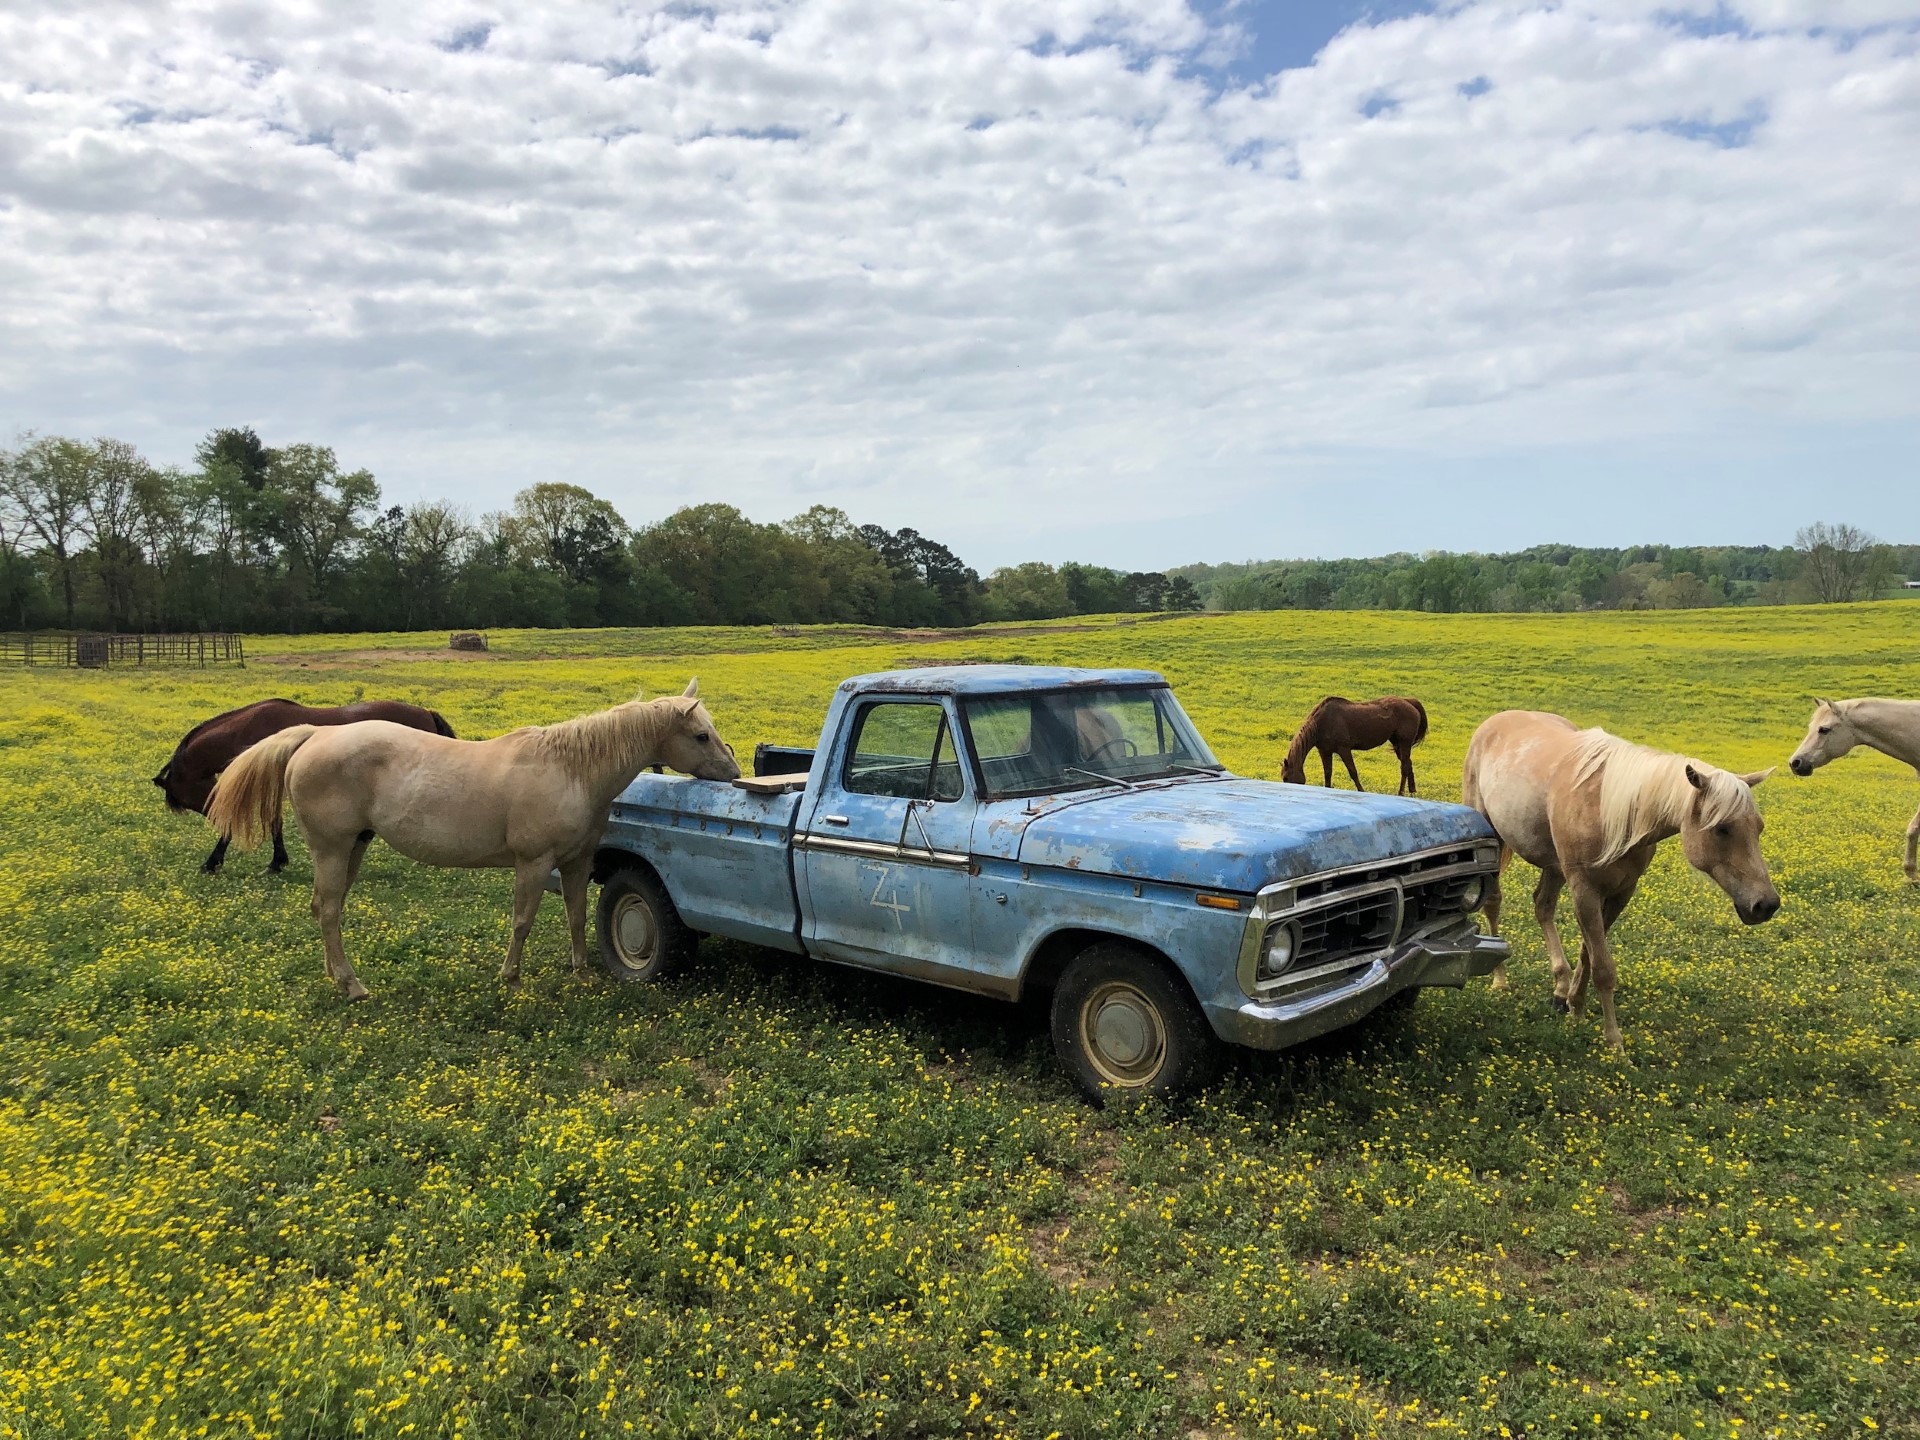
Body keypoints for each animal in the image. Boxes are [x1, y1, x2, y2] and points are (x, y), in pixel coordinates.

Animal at [153, 695, 453, 875]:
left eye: (185, 797)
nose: (215, 815)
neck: (246, 732)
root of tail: (427, 713)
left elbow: (271, 822)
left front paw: (218, 861)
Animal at [208, 683, 733, 1006]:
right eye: (700, 735)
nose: (731, 772)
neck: (572, 770)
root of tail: (315, 734)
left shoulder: (578, 862)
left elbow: (578, 916)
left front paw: (582, 973)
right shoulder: (533, 863)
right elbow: (522, 922)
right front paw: (511, 978)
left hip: (353, 847)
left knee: (322, 908)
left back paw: (336, 978)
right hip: (333, 849)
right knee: (331, 910)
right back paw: (353, 986)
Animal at [1282, 695, 1436, 794]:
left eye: (1286, 778)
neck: (1322, 722)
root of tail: (1409, 702)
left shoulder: (1344, 749)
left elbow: (1353, 772)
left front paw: (1362, 790)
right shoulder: (1325, 751)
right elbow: (1328, 773)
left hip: (1404, 743)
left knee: (1404, 767)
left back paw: (1401, 793)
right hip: (1398, 744)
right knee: (1408, 764)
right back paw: (1412, 791)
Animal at [1459, 718, 1774, 1052]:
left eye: (1759, 827)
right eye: (1722, 829)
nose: (1766, 904)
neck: (1613, 811)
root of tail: (1495, 721)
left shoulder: (1621, 892)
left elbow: (1588, 954)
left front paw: (1575, 1008)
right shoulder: (1585, 890)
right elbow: (1603, 968)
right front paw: (1614, 1042)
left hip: (1554, 865)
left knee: (1543, 906)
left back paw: (1559, 987)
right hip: (1494, 839)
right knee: (1494, 904)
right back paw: (1500, 980)